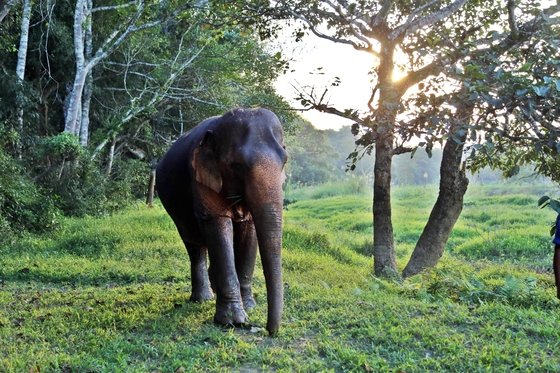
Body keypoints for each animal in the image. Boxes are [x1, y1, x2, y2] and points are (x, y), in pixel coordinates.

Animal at [156, 107, 288, 334]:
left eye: (285, 161)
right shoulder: (200, 176)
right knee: (194, 244)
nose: (270, 331)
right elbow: (217, 225)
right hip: (174, 207)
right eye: (237, 165)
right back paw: (203, 298)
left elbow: (248, 230)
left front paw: (250, 307)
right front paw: (233, 321)